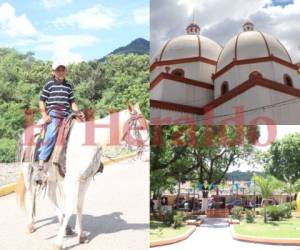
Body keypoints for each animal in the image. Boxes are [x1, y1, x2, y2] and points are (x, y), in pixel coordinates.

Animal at [15, 102, 148, 249]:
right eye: (140, 127)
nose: (147, 155)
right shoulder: (72, 180)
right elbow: (69, 207)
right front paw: (58, 242)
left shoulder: (86, 179)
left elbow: (79, 205)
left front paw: (81, 235)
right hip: (28, 171)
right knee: (31, 194)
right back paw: (31, 224)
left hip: (52, 177)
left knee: (51, 195)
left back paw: (66, 227)